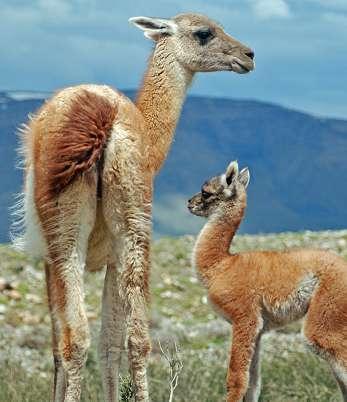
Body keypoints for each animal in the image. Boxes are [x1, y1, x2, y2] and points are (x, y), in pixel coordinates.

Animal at [189, 161, 346, 402]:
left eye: (206, 192)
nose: (189, 203)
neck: (221, 265)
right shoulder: (258, 329)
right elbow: (252, 384)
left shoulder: (245, 317)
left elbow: (236, 379)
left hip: (326, 314)